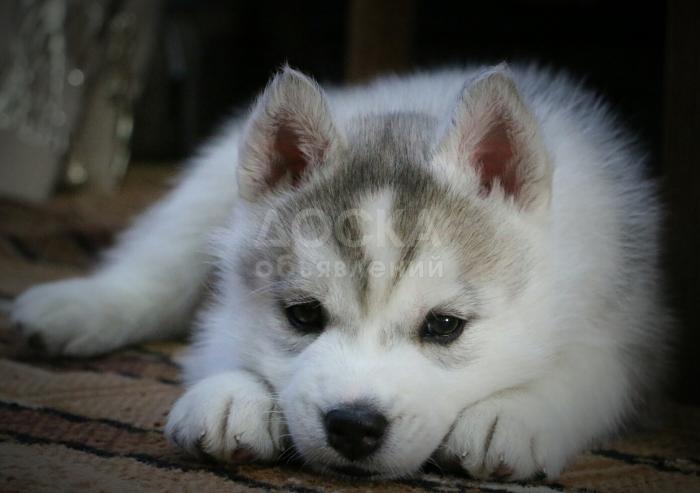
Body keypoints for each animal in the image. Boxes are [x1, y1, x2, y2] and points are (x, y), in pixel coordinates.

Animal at [11, 64, 669, 480]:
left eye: (445, 326)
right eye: (303, 315)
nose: (354, 426)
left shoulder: (627, 324)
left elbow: (584, 371)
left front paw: (511, 412)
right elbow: (221, 333)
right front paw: (231, 393)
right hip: (208, 189)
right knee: (157, 263)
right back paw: (75, 306)